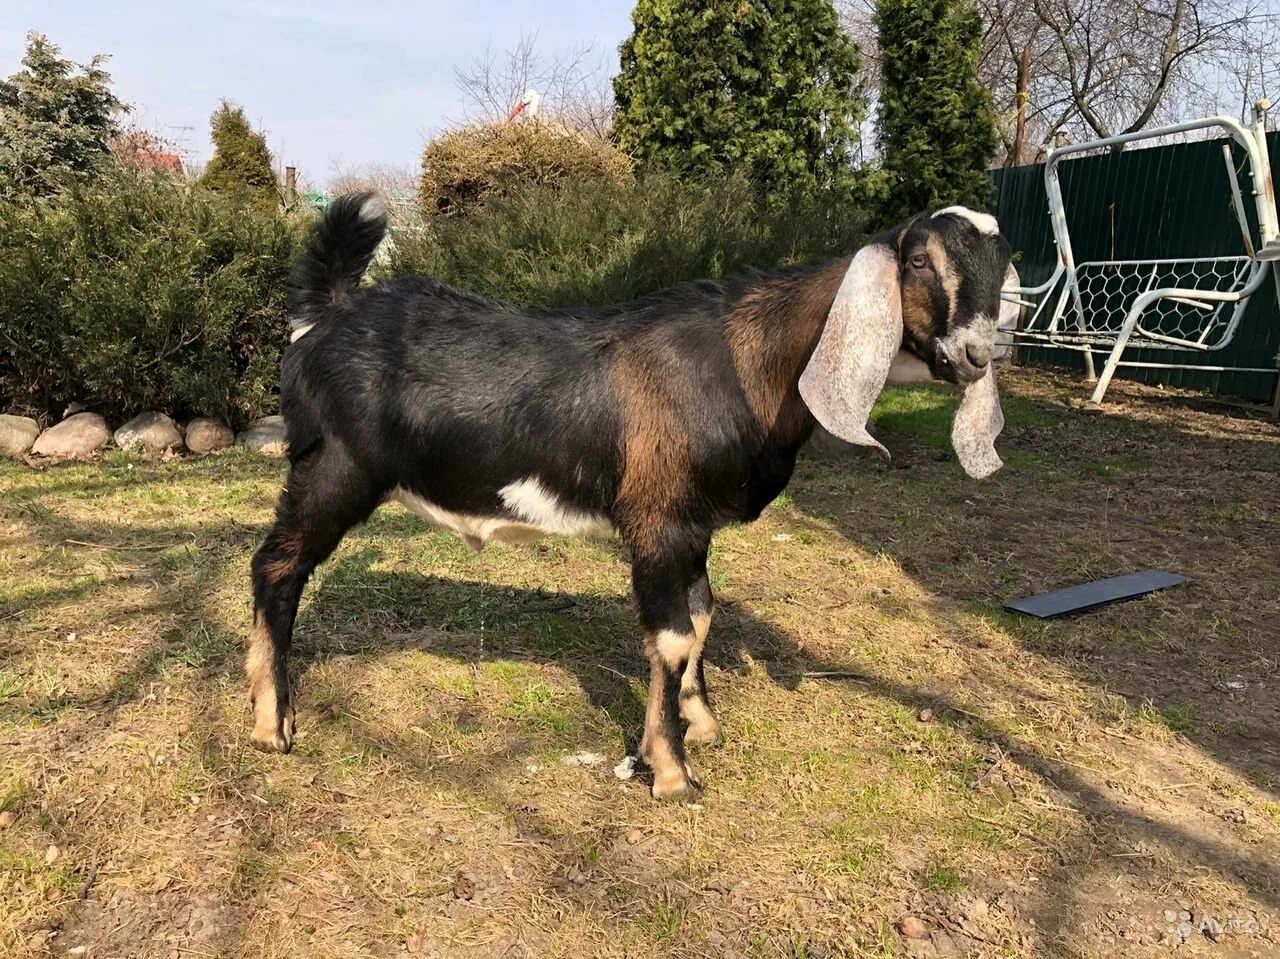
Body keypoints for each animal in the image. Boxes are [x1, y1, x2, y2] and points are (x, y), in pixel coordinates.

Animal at [247, 194, 1008, 798]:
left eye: (1000, 263)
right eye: (918, 261)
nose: (977, 355)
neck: (741, 362)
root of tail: (323, 319)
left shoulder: (694, 527)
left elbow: (701, 616)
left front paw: (699, 723)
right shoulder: (659, 520)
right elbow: (671, 638)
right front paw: (672, 771)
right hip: (334, 470)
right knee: (275, 568)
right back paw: (271, 723)